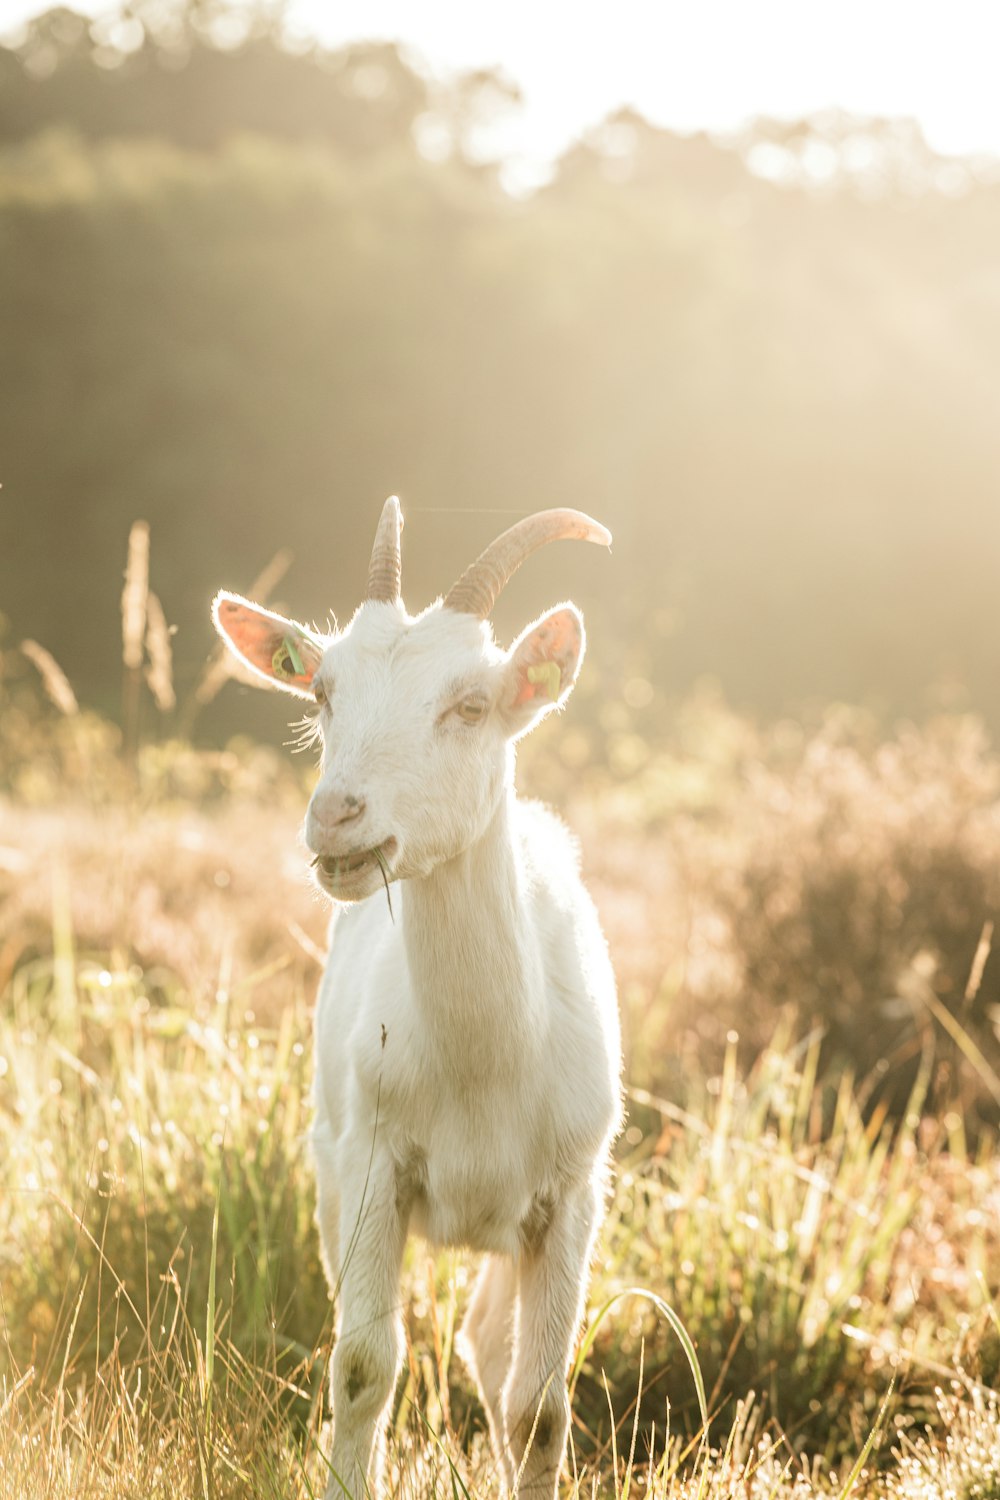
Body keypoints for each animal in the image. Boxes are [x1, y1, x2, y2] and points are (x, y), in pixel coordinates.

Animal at [215, 501, 620, 1500]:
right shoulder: (373, 1166)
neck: (487, 1059)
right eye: (322, 693)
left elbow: (540, 1408)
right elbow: (364, 1365)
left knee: (494, 1351)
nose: (336, 818)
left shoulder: (571, 1194)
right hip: (328, 1162)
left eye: (470, 705)